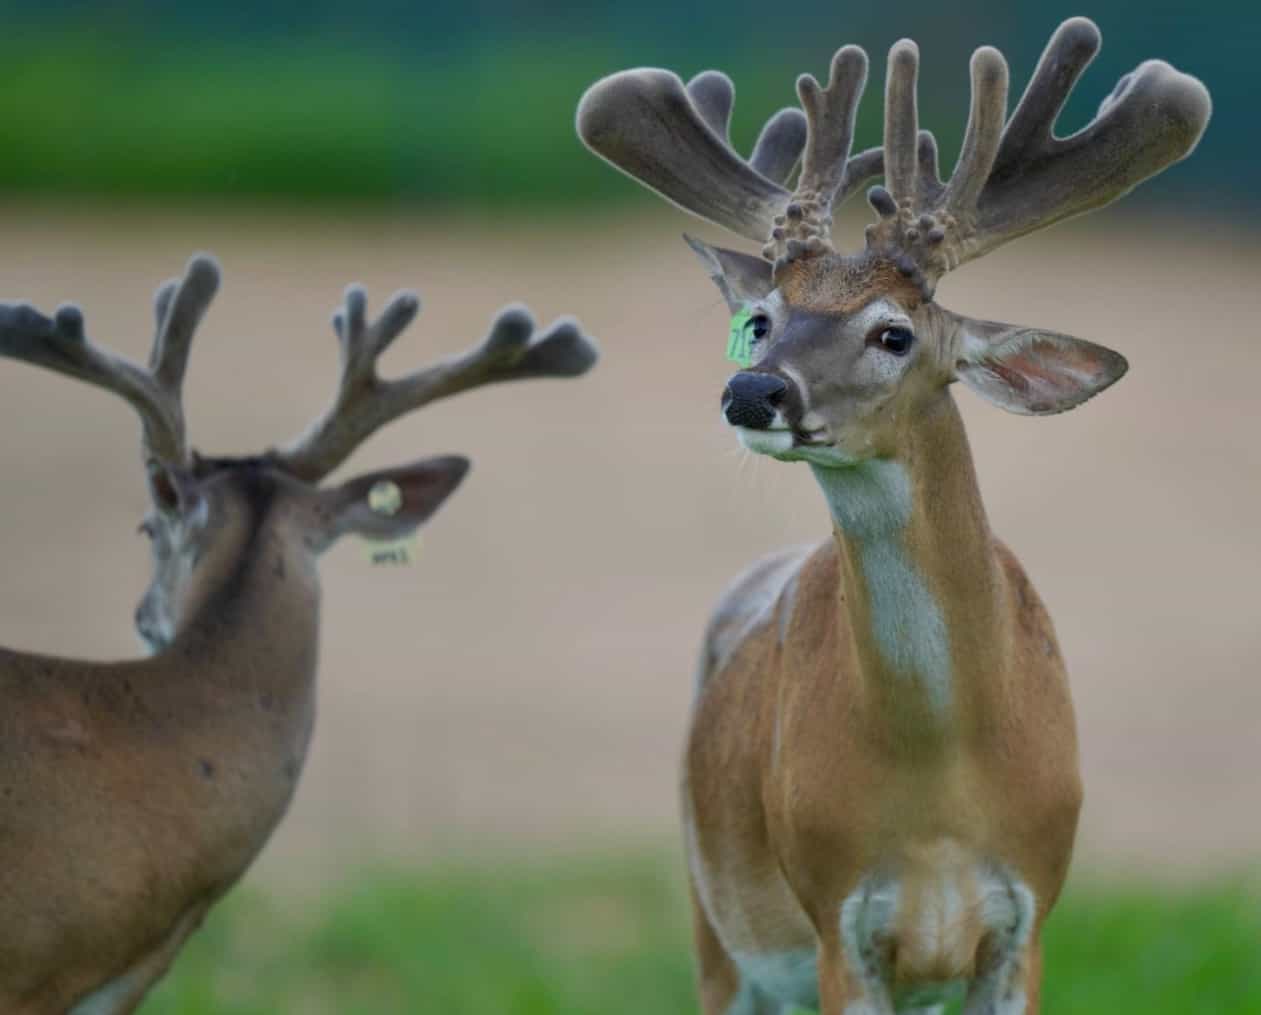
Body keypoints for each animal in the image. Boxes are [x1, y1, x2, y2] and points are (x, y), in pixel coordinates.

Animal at [578, 17, 1208, 1014]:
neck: (939, 791)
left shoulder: (1027, 919)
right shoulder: (836, 920)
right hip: (717, 929)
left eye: (892, 332)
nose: (752, 391)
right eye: (763, 319)